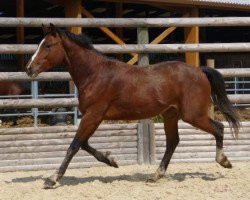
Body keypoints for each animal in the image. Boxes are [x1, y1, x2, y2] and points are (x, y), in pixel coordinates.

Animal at [25, 24, 240, 188]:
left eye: (48, 45)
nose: (29, 69)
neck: (95, 74)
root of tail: (200, 71)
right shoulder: (93, 117)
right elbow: (84, 144)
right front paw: (111, 161)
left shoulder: (93, 115)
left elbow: (74, 146)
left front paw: (52, 179)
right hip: (171, 115)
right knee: (173, 142)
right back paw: (155, 175)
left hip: (193, 115)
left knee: (218, 128)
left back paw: (224, 161)